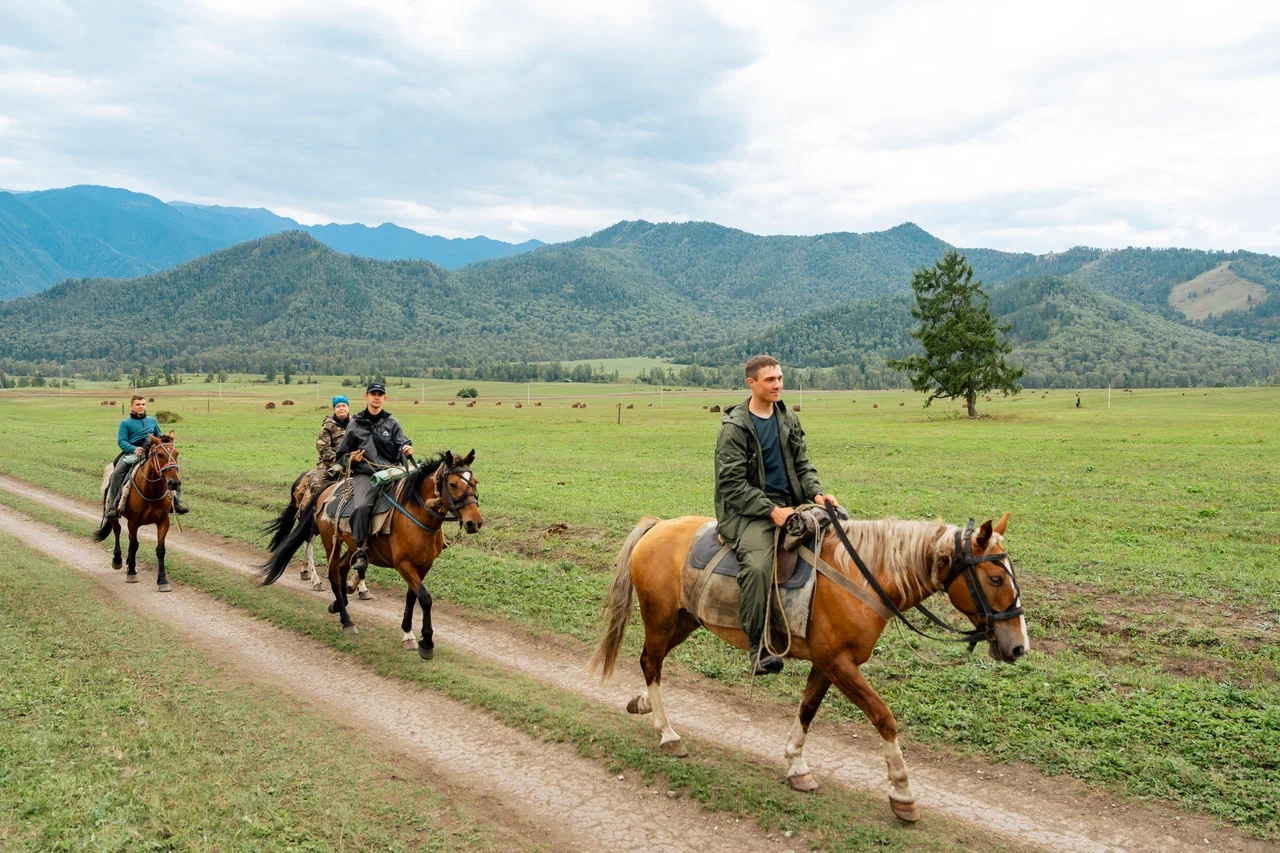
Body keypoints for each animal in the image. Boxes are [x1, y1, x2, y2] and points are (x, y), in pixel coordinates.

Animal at [92, 432, 181, 591]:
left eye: (177, 453)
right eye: (159, 454)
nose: (174, 483)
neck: (151, 491)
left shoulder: (163, 521)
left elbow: (160, 549)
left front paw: (163, 580)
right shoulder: (134, 522)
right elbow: (134, 545)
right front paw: (131, 573)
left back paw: (128, 562)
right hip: (113, 514)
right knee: (117, 531)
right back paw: (118, 560)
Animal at [257, 450, 481, 655]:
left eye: (475, 482)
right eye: (453, 484)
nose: (475, 522)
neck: (417, 514)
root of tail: (325, 491)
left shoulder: (424, 565)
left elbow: (412, 597)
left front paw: (408, 634)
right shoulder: (403, 564)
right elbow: (425, 598)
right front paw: (426, 643)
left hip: (352, 545)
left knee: (343, 568)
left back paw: (338, 603)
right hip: (330, 540)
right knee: (331, 571)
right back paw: (345, 619)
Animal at [591, 507, 1029, 819]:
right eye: (994, 579)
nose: (1019, 647)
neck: (863, 578)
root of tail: (658, 526)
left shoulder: (827, 664)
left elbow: (807, 710)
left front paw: (796, 766)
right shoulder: (840, 664)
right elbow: (883, 717)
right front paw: (902, 792)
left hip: (684, 620)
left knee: (653, 662)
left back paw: (643, 705)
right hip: (661, 618)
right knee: (651, 662)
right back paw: (668, 734)